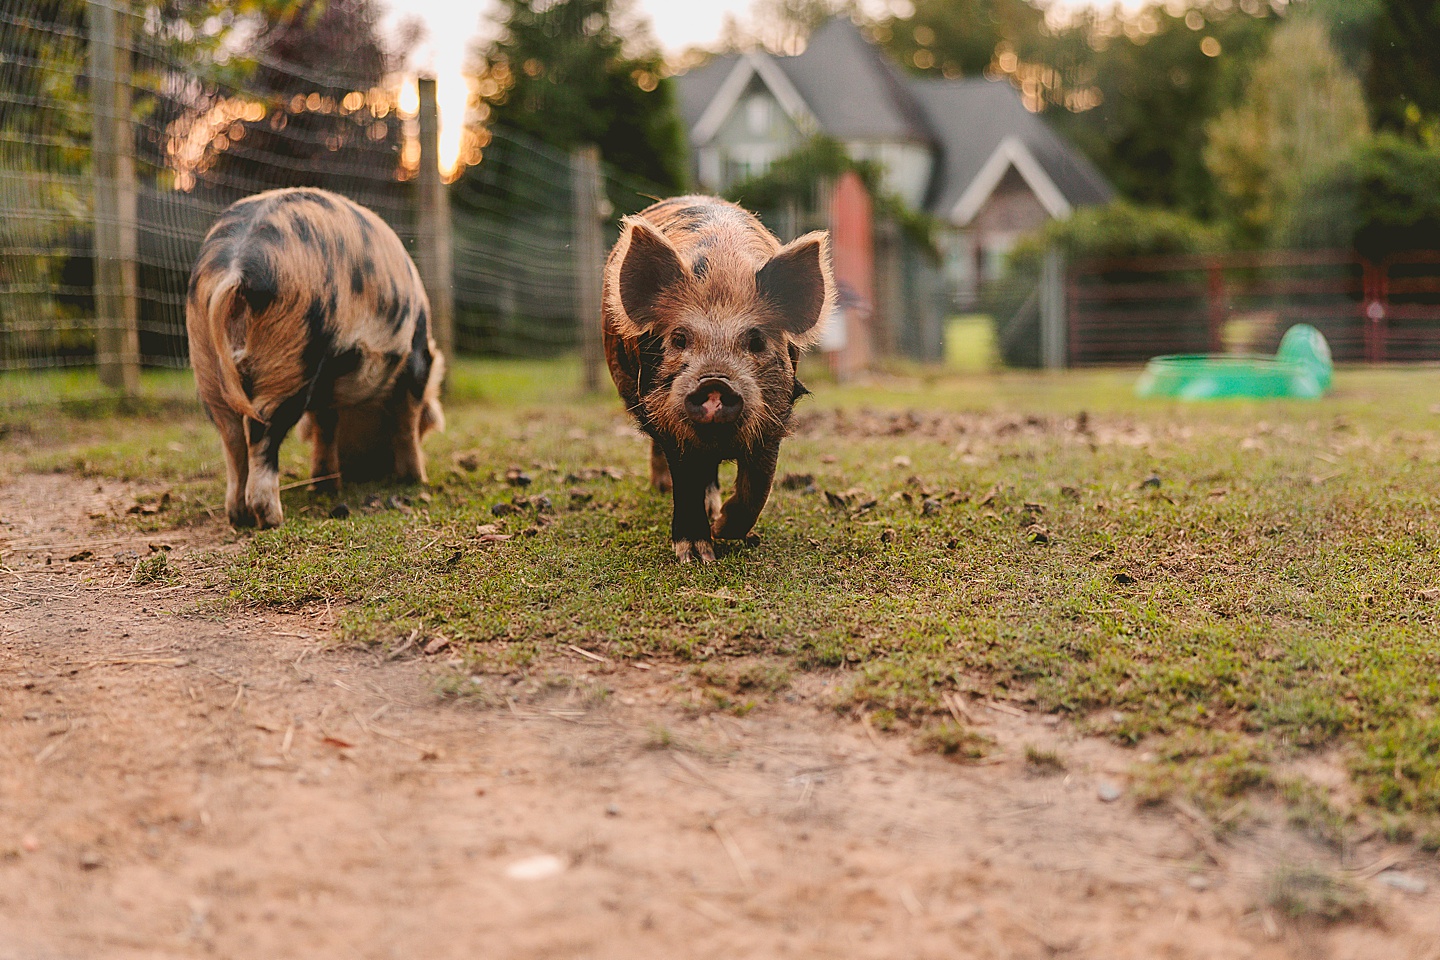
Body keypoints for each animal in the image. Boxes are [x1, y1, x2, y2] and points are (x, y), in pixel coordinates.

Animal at [185, 185, 443, 532]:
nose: (368, 470)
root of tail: (238, 265)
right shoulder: (415, 362)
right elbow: (406, 422)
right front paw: (416, 481)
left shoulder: (328, 384)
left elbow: (325, 425)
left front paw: (325, 486)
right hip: (290, 355)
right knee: (261, 433)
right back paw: (271, 519)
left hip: (207, 363)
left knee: (231, 437)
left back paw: (239, 518)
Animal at [601, 198, 840, 567]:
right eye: (679, 338)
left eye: (756, 341)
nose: (714, 382)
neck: (722, 271)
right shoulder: (667, 418)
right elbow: (686, 480)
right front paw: (697, 555)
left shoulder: (775, 413)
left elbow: (758, 485)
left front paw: (722, 529)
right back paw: (663, 489)